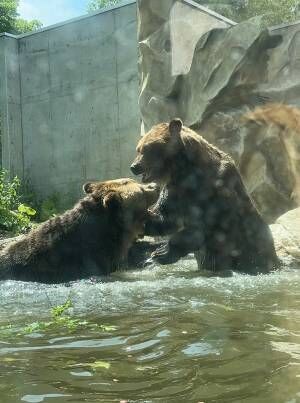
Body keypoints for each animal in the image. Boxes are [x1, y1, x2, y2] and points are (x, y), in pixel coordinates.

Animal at [131, 117, 278, 274]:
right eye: (138, 148)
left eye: (146, 148)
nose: (134, 166)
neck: (186, 171)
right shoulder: (176, 189)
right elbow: (165, 217)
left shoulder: (217, 187)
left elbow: (208, 225)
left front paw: (162, 252)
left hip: (252, 251)